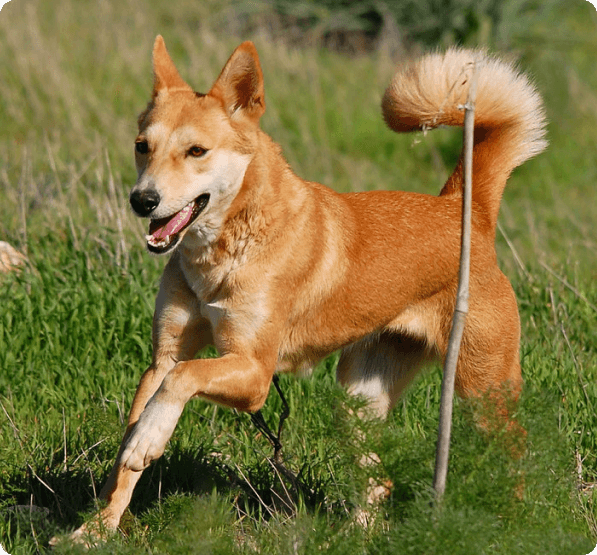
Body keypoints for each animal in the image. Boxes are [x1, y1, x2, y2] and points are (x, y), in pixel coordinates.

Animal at [65, 35, 544, 544]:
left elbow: (184, 380)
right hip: (357, 400)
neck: (224, 255)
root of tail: (463, 211)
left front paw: (147, 440)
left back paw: (514, 527)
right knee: (379, 482)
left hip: (483, 392)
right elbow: (129, 453)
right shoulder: (164, 357)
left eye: (196, 151)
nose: (143, 200)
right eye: (142, 146)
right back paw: (352, 537)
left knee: (515, 459)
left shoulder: (255, 373)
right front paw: (96, 530)